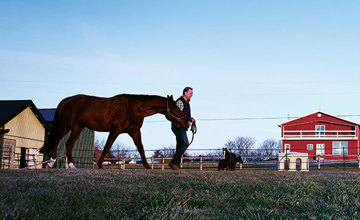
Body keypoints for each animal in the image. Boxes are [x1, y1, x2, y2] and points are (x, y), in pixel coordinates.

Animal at [40, 94, 188, 168]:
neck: (133, 107)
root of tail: (65, 100)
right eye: (175, 108)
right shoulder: (115, 130)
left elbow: (140, 148)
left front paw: (147, 166)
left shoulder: (134, 132)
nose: (186, 122)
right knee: (57, 140)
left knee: (69, 143)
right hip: (67, 125)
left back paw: (71, 165)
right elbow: (107, 146)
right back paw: (51, 163)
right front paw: (99, 164)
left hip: (78, 127)